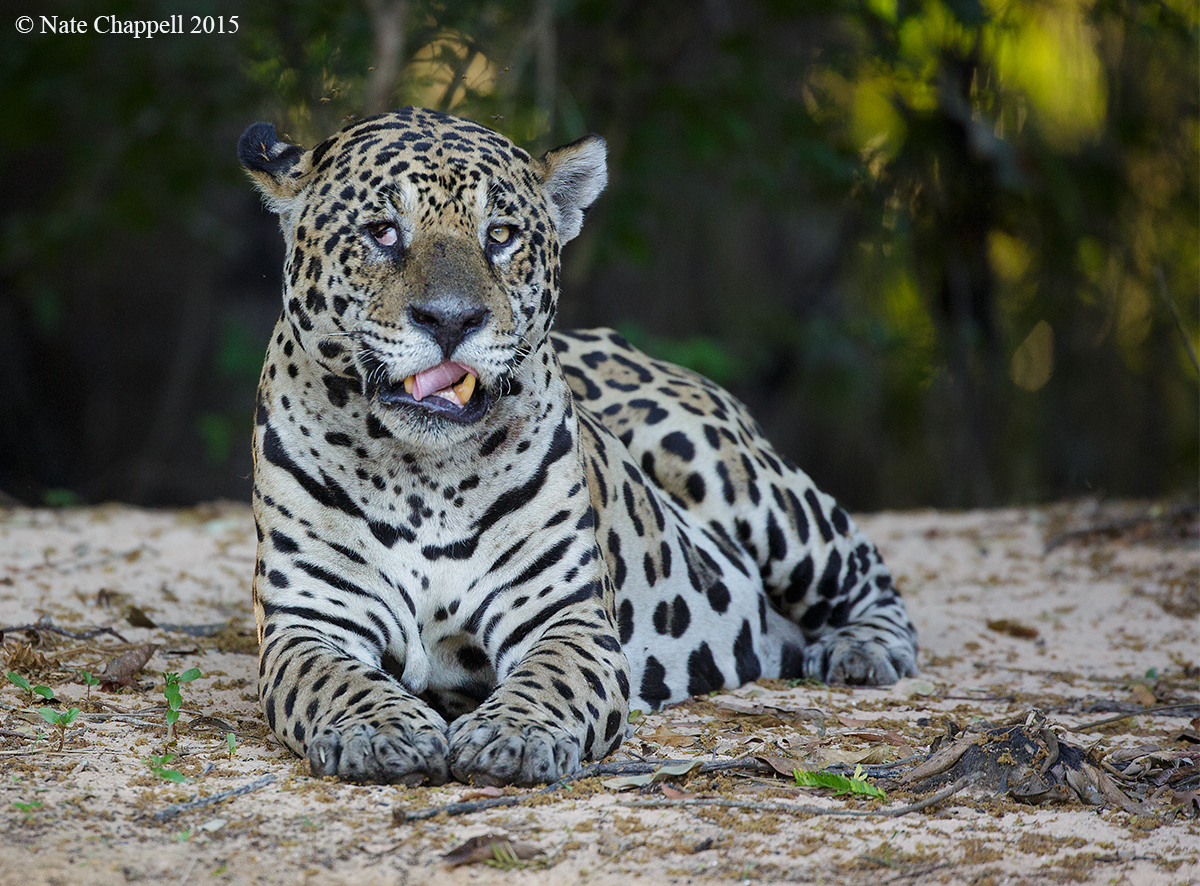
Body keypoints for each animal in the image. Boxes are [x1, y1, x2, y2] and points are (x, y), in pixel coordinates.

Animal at [238, 106, 917, 787]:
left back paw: (860, 651)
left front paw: (512, 737)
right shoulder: (307, 625)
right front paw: (382, 731)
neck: (418, 473)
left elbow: (551, 680)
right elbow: (337, 681)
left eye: (501, 234)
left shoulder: (567, 617)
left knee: (865, 567)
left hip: (732, 473)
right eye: (382, 232)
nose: (451, 320)